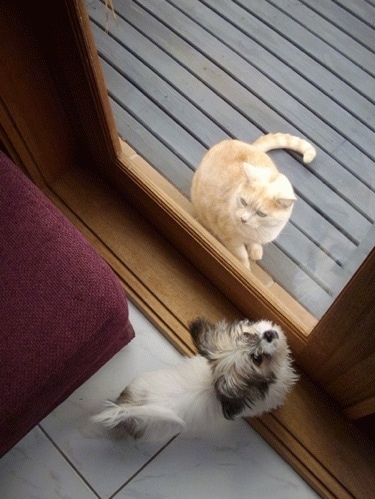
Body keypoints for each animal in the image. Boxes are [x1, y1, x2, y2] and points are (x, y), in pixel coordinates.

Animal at [191, 131, 318, 268]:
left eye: (261, 214)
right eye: (243, 202)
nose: (243, 219)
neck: (256, 231)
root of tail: (250, 146)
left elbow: (254, 243)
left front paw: (255, 249)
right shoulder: (230, 238)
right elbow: (241, 256)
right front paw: (245, 267)